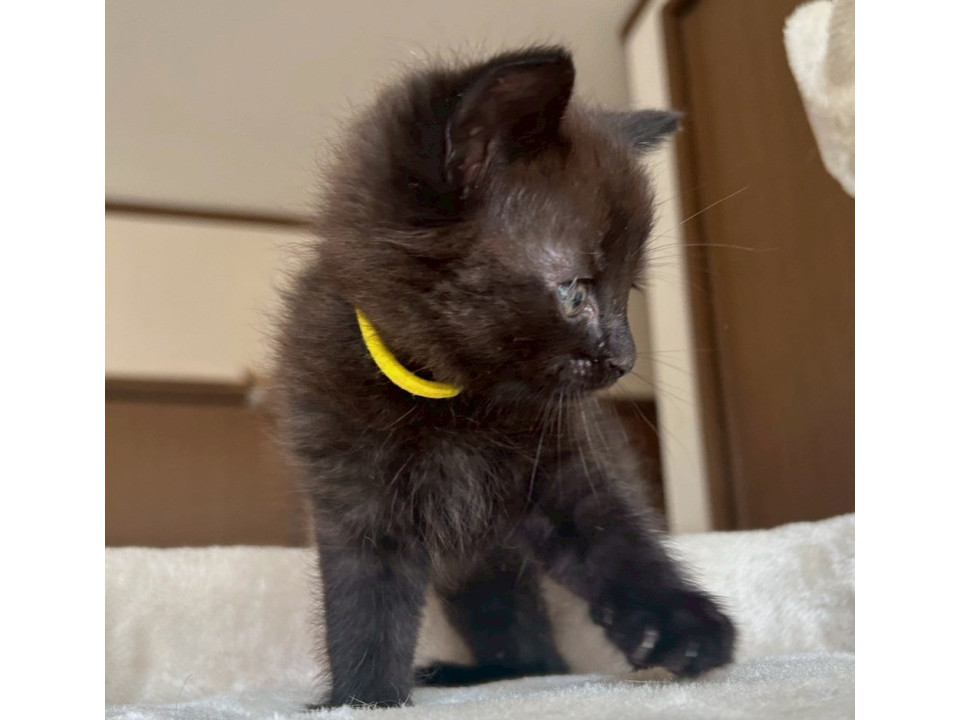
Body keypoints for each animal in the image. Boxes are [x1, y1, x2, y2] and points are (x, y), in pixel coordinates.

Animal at [272, 46, 735, 709]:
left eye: (629, 293)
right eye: (575, 292)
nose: (625, 359)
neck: (451, 399)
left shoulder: (568, 462)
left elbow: (619, 542)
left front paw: (681, 628)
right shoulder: (352, 488)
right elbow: (364, 605)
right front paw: (362, 699)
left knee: (539, 652)